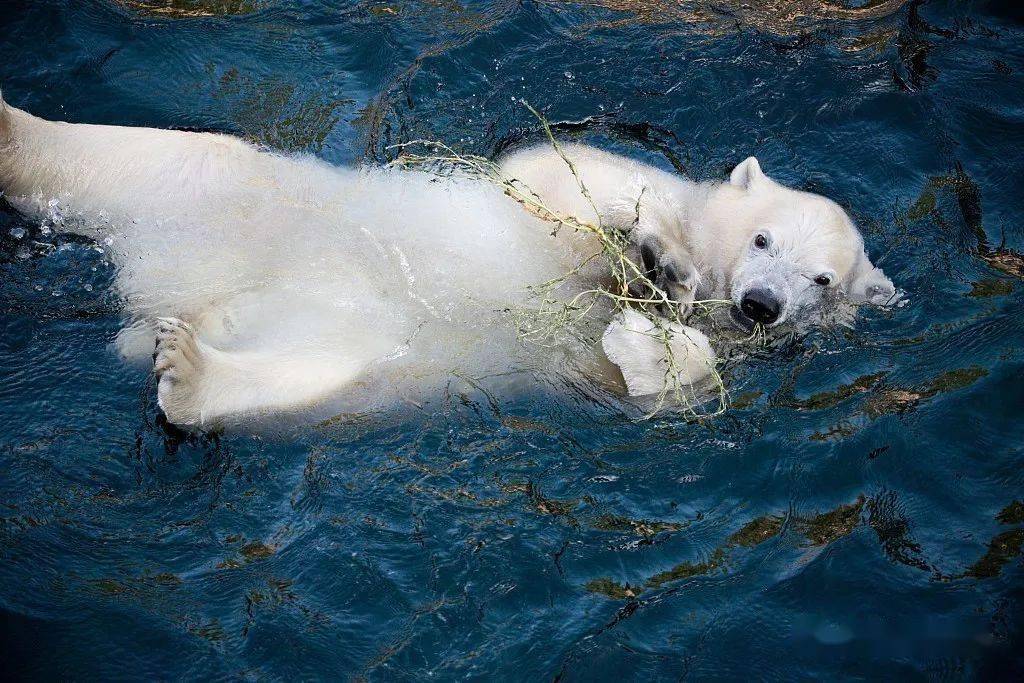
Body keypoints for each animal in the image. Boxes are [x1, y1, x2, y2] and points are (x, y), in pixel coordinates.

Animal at [0, 94, 897, 428]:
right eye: (764, 238)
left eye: (822, 282)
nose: (760, 303)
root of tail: (167, 284)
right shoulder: (600, 185)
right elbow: (553, 174)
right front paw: (659, 253)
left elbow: (635, 383)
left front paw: (649, 338)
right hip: (232, 190)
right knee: (140, 155)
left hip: (348, 351)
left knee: (306, 371)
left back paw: (189, 371)